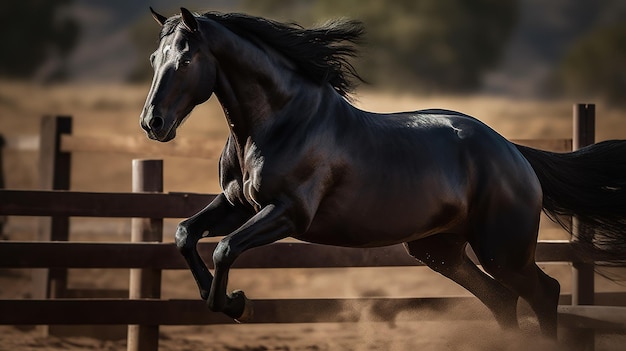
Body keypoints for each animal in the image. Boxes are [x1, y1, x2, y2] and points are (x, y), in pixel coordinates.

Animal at [141, 7, 624, 338]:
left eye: (185, 60)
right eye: (153, 59)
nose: (152, 123)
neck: (279, 121)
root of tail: (513, 152)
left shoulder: (288, 213)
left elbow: (224, 249)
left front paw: (239, 305)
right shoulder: (237, 205)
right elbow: (185, 234)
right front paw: (224, 300)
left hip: (502, 250)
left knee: (544, 292)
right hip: (439, 250)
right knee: (503, 300)